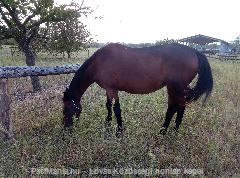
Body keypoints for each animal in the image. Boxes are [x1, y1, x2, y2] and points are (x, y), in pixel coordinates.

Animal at [62, 43, 213, 136]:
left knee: (179, 108)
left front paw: (119, 131)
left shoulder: (112, 89)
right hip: (173, 88)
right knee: (173, 108)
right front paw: (108, 123)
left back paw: (172, 132)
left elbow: (116, 109)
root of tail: (194, 51)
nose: (65, 128)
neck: (99, 62)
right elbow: (108, 106)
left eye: (66, 108)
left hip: (177, 88)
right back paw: (163, 131)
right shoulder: (108, 89)